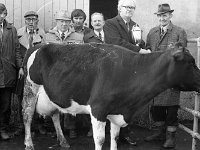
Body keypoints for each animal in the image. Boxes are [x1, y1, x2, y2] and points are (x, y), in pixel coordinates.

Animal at [22, 42, 200, 150]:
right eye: (191, 63)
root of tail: (39, 45)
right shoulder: (98, 109)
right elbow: (100, 139)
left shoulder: (117, 110)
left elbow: (114, 137)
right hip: (30, 89)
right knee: (27, 116)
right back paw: (29, 143)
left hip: (53, 94)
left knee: (54, 115)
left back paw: (63, 141)